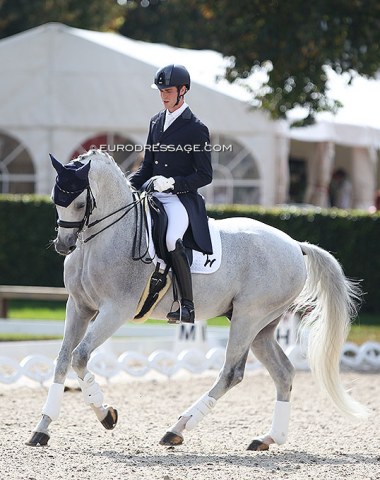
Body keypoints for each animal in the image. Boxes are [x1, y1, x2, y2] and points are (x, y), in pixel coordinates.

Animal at [26, 150, 366, 450]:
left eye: (81, 202)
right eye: (56, 200)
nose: (63, 245)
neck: (105, 236)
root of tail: (296, 245)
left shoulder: (115, 310)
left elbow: (80, 357)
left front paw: (107, 415)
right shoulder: (79, 307)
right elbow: (63, 359)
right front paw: (41, 429)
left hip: (248, 317)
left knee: (231, 372)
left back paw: (176, 430)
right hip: (263, 327)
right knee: (283, 373)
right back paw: (267, 439)